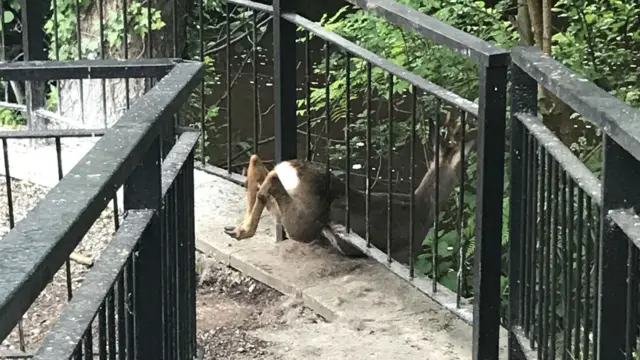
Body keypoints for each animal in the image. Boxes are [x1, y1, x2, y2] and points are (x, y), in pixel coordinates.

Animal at [225, 120, 476, 264]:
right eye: (463, 164)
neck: (423, 206)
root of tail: (290, 168)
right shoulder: (405, 254)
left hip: (285, 210)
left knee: (257, 165)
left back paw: (237, 229)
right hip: (305, 222)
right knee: (271, 183)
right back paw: (243, 230)